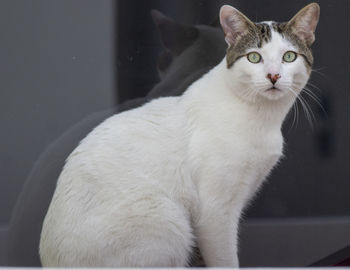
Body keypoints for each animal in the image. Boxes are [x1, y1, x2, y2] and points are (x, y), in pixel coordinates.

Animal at [39, 3, 320, 268]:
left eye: (288, 56)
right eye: (254, 57)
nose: (273, 76)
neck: (264, 119)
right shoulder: (215, 212)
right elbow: (226, 260)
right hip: (169, 219)